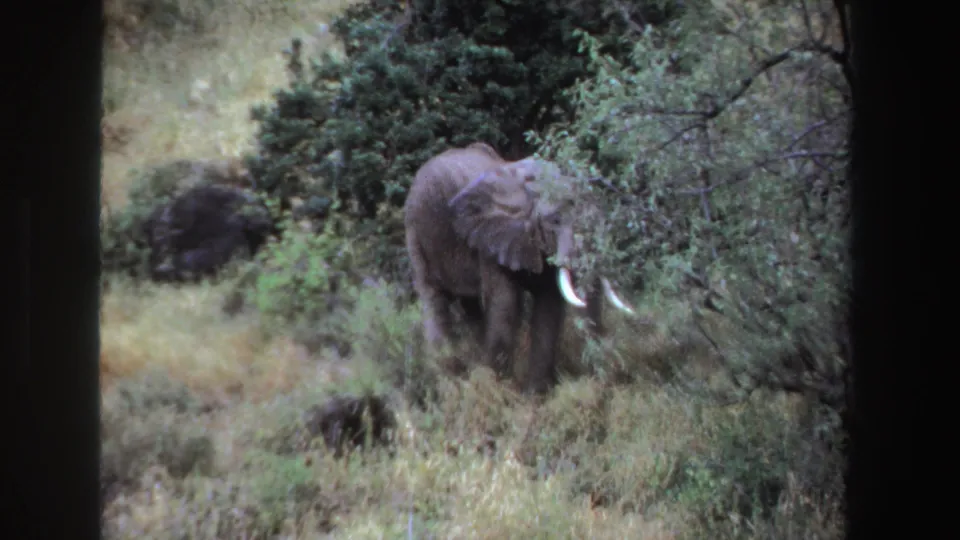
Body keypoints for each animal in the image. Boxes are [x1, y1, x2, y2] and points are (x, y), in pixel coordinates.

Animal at [403, 142, 636, 394]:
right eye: (555, 220)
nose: (602, 380)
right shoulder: (490, 240)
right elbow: (505, 305)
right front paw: (500, 392)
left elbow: (549, 305)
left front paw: (535, 396)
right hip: (416, 234)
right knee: (433, 299)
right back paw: (448, 382)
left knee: (470, 307)